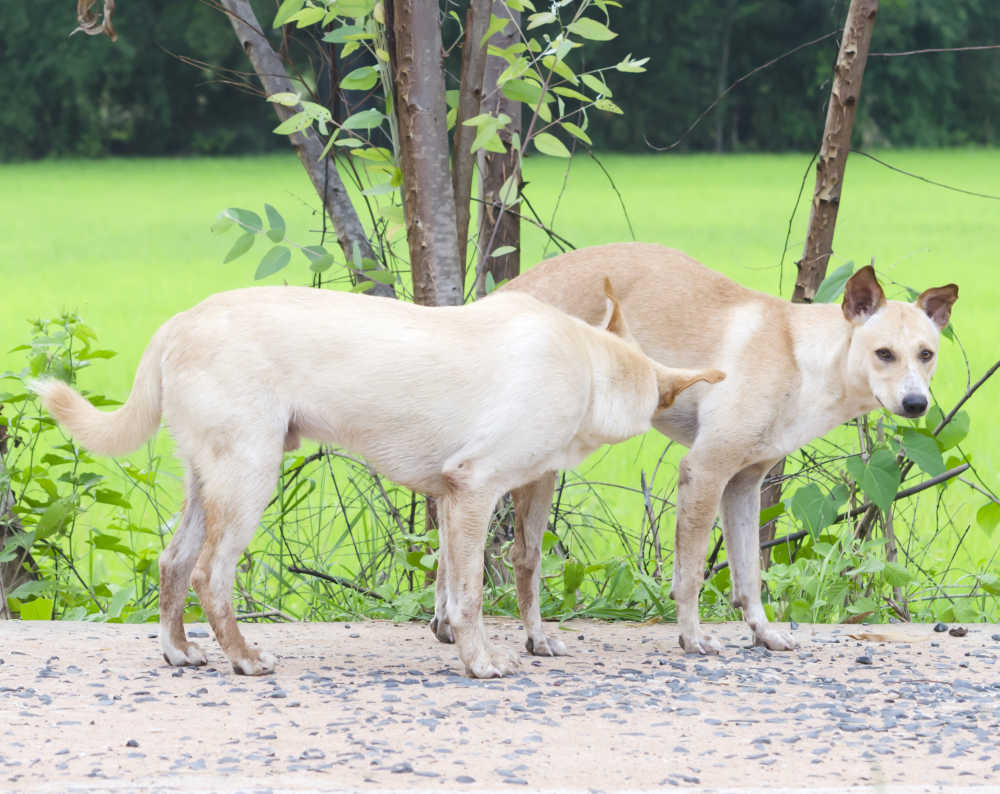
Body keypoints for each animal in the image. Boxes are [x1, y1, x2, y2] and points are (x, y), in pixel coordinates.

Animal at [35, 284, 724, 676]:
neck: (588, 365)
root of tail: (179, 321)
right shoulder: (476, 490)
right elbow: (472, 595)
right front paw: (480, 662)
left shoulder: (460, 500)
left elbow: (482, 581)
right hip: (250, 478)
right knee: (211, 575)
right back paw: (246, 659)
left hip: (210, 483)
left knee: (173, 561)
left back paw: (179, 650)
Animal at [442, 241, 956, 656]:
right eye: (883, 353)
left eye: (927, 354)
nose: (916, 404)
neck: (801, 356)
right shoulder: (704, 472)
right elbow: (689, 575)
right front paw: (692, 638)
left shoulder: (744, 486)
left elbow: (749, 576)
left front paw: (763, 634)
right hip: (536, 470)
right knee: (521, 560)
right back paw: (533, 637)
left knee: (451, 545)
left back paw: (445, 624)